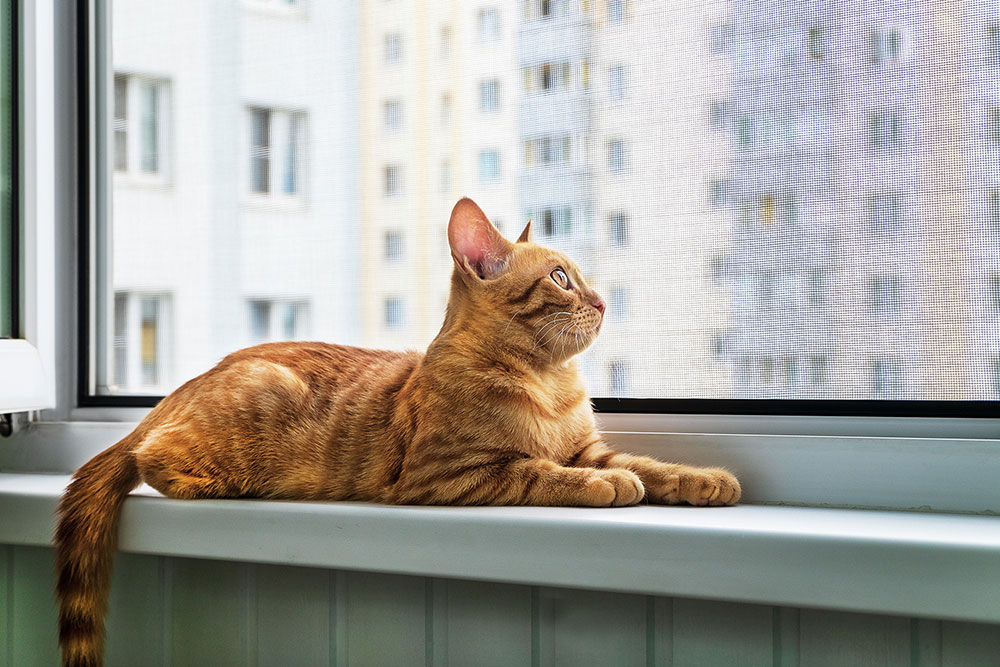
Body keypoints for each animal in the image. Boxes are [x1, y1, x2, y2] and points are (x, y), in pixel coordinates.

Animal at [56, 198, 744, 667]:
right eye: (560, 278)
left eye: (581, 278)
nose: (602, 302)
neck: (548, 383)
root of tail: (184, 387)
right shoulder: (450, 475)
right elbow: (541, 471)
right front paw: (604, 487)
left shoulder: (589, 447)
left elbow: (650, 464)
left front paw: (705, 480)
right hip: (246, 407)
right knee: (150, 456)